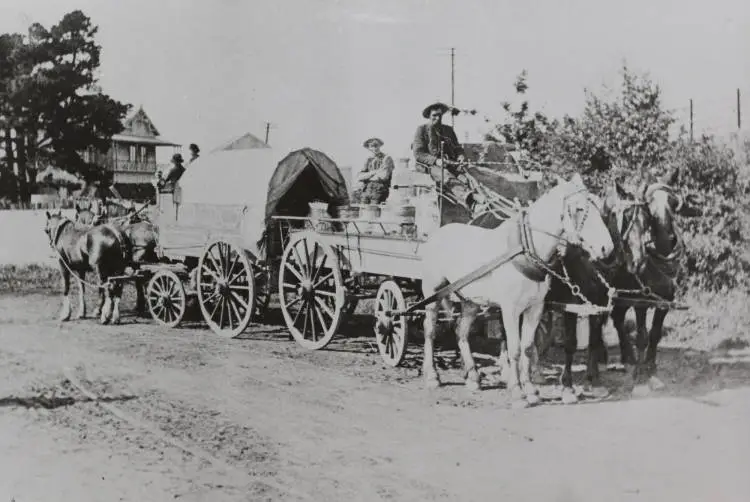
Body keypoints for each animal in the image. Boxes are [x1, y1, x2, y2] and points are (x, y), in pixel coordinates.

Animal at [418, 173, 616, 408]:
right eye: (578, 208)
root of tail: (437, 233)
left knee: (461, 331)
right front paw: (517, 392)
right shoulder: (510, 309)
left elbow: (528, 347)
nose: (607, 248)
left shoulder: (535, 307)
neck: (526, 249)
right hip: (433, 293)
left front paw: (531, 390)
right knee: (430, 329)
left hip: (471, 300)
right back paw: (432, 375)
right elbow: (514, 348)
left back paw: (473, 377)